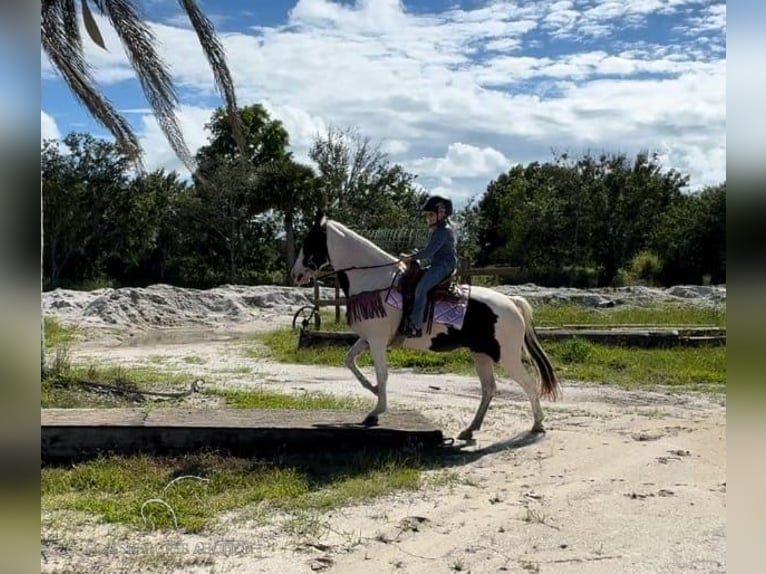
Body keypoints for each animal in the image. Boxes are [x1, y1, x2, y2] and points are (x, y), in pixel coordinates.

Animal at [292, 212, 560, 440]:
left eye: (309, 241)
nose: (295, 274)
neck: (373, 281)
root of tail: (512, 302)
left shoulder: (377, 340)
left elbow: (382, 373)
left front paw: (376, 411)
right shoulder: (368, 339)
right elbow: (350, 360)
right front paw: (373, 389)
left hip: (507, 357)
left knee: (528, 384)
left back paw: (537, 425)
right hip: (481, 354)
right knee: (488, 389)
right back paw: (470, 429)